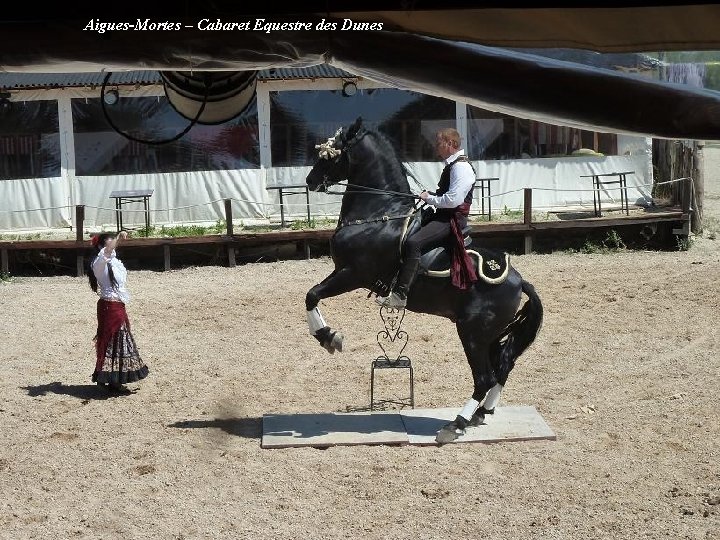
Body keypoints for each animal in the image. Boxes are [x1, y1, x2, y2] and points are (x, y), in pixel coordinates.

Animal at [300, 118, 544, 442]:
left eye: (330, 154)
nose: (310, 180)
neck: (380, 216)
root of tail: (518, 279)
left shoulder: (353, 273)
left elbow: (311, 294)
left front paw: (329, 337)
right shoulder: (347, 273)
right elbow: (311, 294)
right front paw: (328, 336)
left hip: (473, 333)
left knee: (485, 377)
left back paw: (456, 424)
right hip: (492, 334)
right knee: (502, 367)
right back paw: (481, 414)